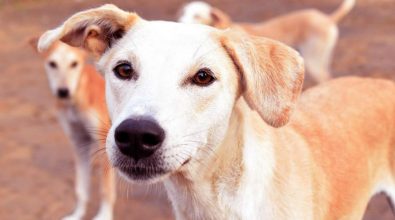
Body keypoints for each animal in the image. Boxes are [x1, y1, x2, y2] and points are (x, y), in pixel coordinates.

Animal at [29, 39, 116, 220]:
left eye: (74, 64)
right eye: (52, 64)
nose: (63, 92)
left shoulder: (104, 147)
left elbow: (105, 189)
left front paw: (103, 215)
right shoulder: (79, 143)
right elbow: (81, 188)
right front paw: (78, 214)